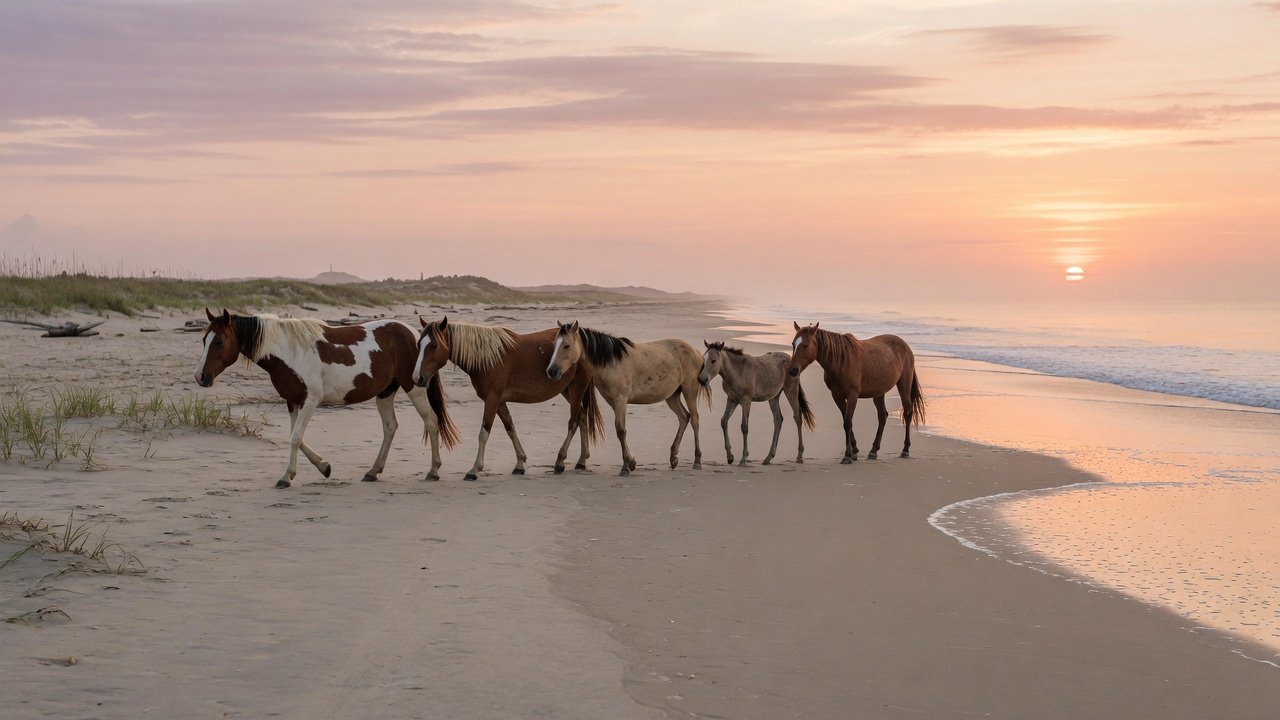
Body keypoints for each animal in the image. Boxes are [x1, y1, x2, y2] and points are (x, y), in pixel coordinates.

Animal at [195, 308, 459, 488]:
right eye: (203, 340)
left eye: (219, 341)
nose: (200, 376)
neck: (289, 352)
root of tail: (415, 334)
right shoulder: (293, 402)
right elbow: (297, 438)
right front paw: (323, 467)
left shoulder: (310, 401)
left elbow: (295, 438)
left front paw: (286, 477)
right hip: (385, 392)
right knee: (390, 427)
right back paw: (373, 471)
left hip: (415, 387)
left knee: (431, 422)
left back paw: (433, 470)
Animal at [411, 316, 603, 481]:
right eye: (419, 344)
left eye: (434, 345)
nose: (417, 378)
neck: (487, 358)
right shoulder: (499, 401)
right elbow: (510, 428)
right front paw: (520, 463)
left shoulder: (491, 400)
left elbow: (484, 433)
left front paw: (475, 469)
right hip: (567, 390)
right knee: (582, 416)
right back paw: (581, 460)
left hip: (577, 387)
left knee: (574, 421)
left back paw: (560, 461)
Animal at [546, 322, 709, 476]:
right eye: (554, 345)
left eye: (566, 345)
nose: (551, 371)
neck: (612, 362)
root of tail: (695, 351)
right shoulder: (614, 402)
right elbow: (621, 430)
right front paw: (631, 462)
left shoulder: (620, 401)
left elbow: (621, 431)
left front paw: (625, 467)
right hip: (672, 396)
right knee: (684, 417)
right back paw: (673, 458)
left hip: (689, 390)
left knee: (695, 420)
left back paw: (697, 461)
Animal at [787, 322, 925, 462]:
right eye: (793, 344)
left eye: (805, 345)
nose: (792, 370)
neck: (841, 361)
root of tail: (905, 346)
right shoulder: (837, 396)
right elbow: (846, 421)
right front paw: (854, 451)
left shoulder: (852, 395)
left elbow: (847, 423)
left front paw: (847, 455)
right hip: (879, 392)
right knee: (882, 416)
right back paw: (873, 451)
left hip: (904, 385)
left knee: (908, 412)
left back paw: (905, 450)